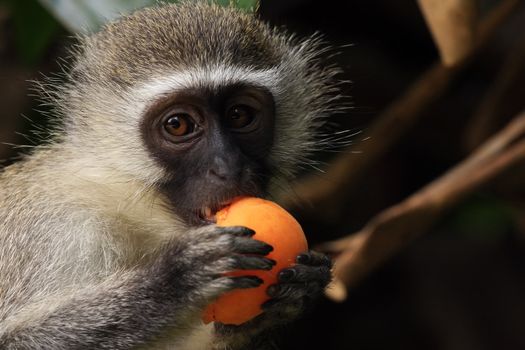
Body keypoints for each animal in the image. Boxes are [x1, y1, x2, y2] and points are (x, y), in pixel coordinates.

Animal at [0, 2, 340, 350]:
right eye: (178, 125)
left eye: (239, 115)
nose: (228, 166)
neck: (125, 205)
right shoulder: (57, 231)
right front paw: (173, 280)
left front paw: (289, 299)